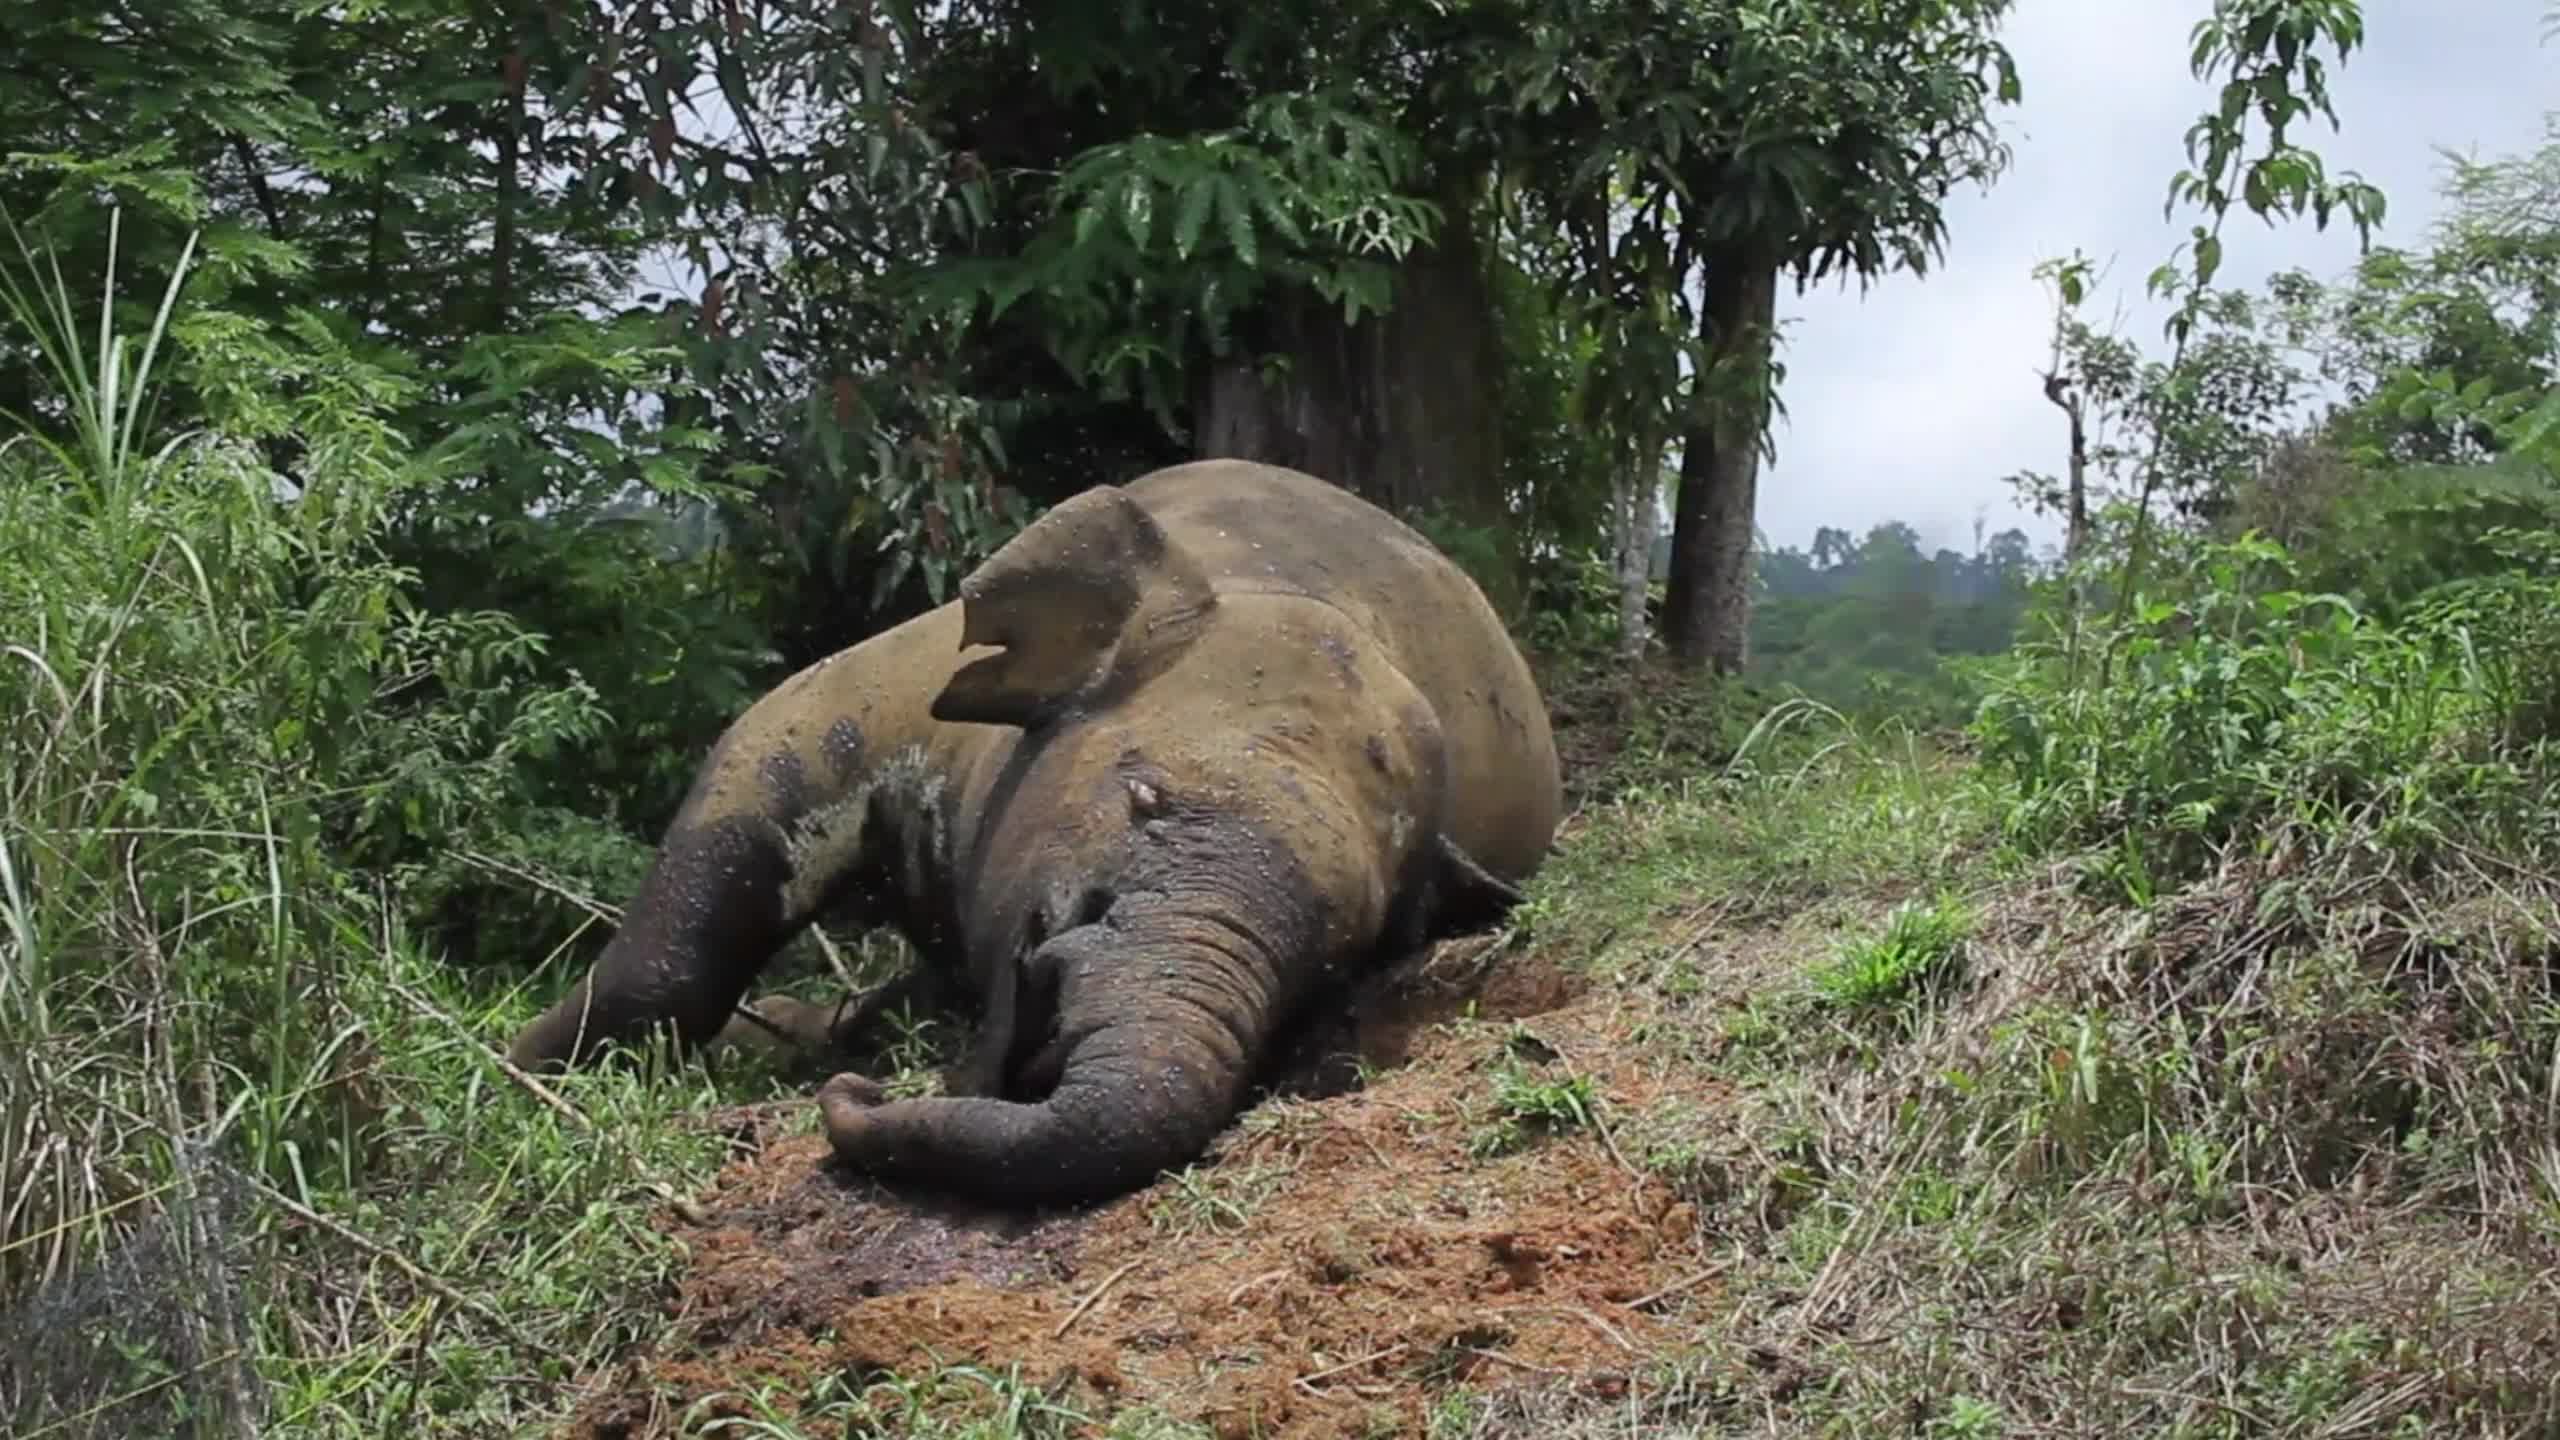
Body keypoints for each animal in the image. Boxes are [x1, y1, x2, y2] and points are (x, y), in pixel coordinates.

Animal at [506, 458, 1563, 1203]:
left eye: (1336, 958)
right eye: (1142, 797)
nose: (861, 1095)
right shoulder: (887, 687)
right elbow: (746, 793)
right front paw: (513, 1063)